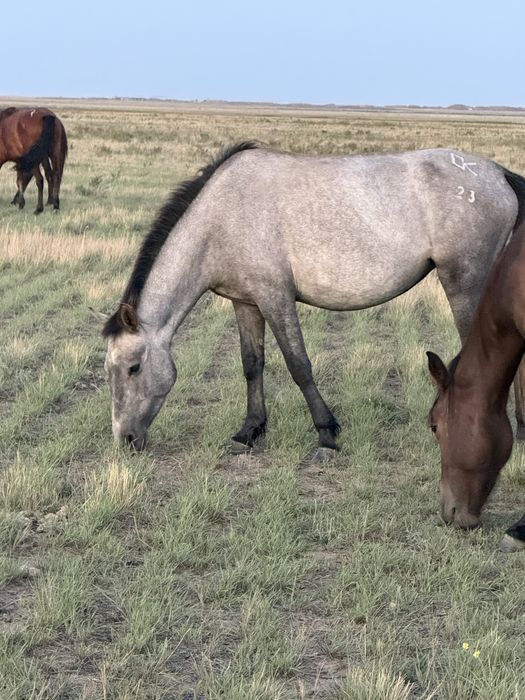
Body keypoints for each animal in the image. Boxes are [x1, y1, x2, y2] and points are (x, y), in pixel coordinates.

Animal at [101, 142, 525, 461]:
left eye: (133, 368)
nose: (125, 440)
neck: (222, 216)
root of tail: (497, 174)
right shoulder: (246, 303)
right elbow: (252, 364)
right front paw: (248, 432)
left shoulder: (275, 297)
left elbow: (298, 365)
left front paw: (327, 434)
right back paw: (520, 433)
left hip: (465, 286)